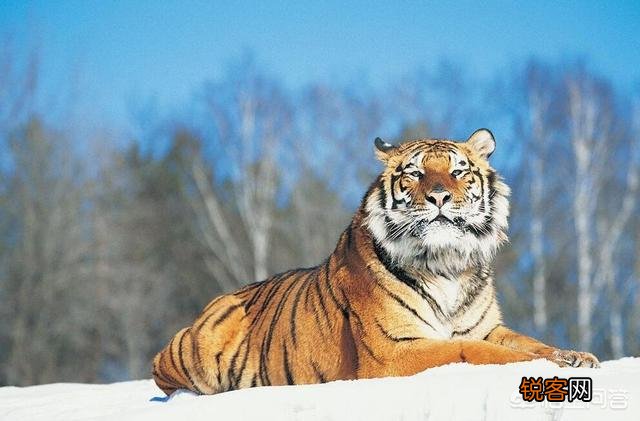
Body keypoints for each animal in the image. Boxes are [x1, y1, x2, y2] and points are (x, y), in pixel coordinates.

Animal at [152, 128, 600, 396]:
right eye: (415, 174)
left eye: (458, 172)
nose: (439, 196)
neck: (446, 264)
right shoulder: (395, 350)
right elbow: (472, 351)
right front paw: (545, 365)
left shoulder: (487, 327)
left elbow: (527, 341)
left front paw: (575, 356)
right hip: (197, 346)